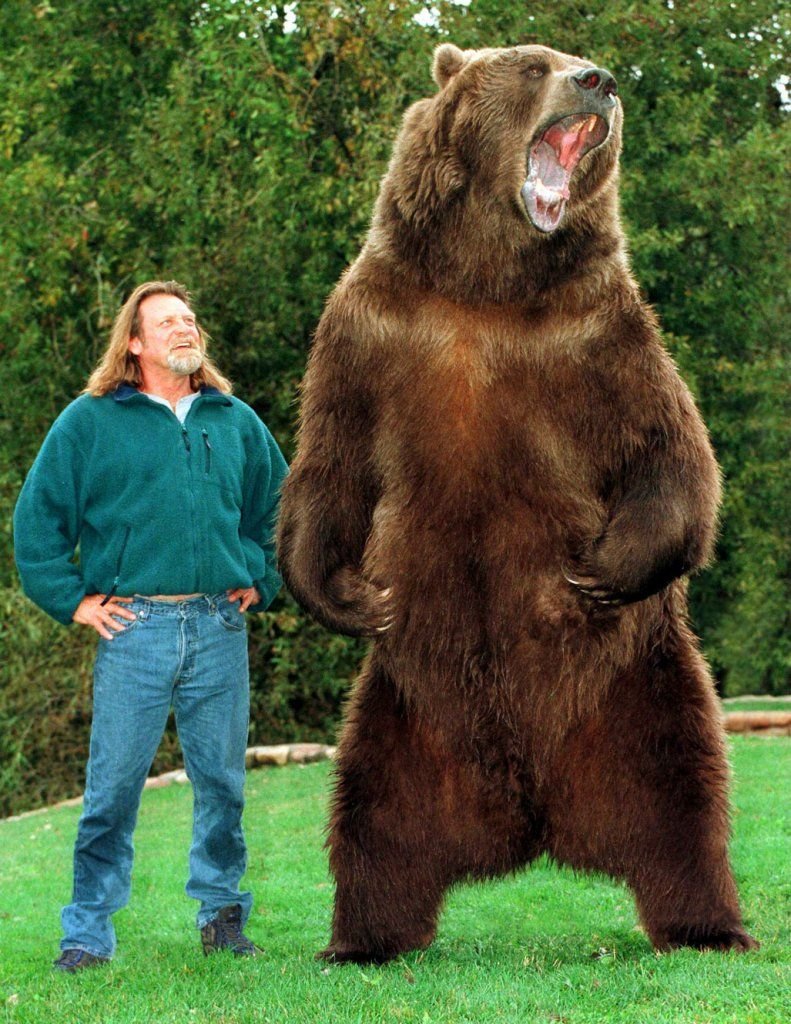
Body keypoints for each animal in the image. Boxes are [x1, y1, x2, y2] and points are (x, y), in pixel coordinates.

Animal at [276, 42, 758, 963]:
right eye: (535, 64)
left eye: (576, 63)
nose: (598, 80)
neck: (485, 283)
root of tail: (533, 819)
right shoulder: (370, 329)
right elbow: (332, 463)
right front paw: (343, 594)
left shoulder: (597, 336)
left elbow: (670, 450)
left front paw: (602, 565)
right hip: (406, 715)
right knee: (372, 820)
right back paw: (362, 938)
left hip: (640, 689)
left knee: (685, 801)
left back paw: (707, 926)